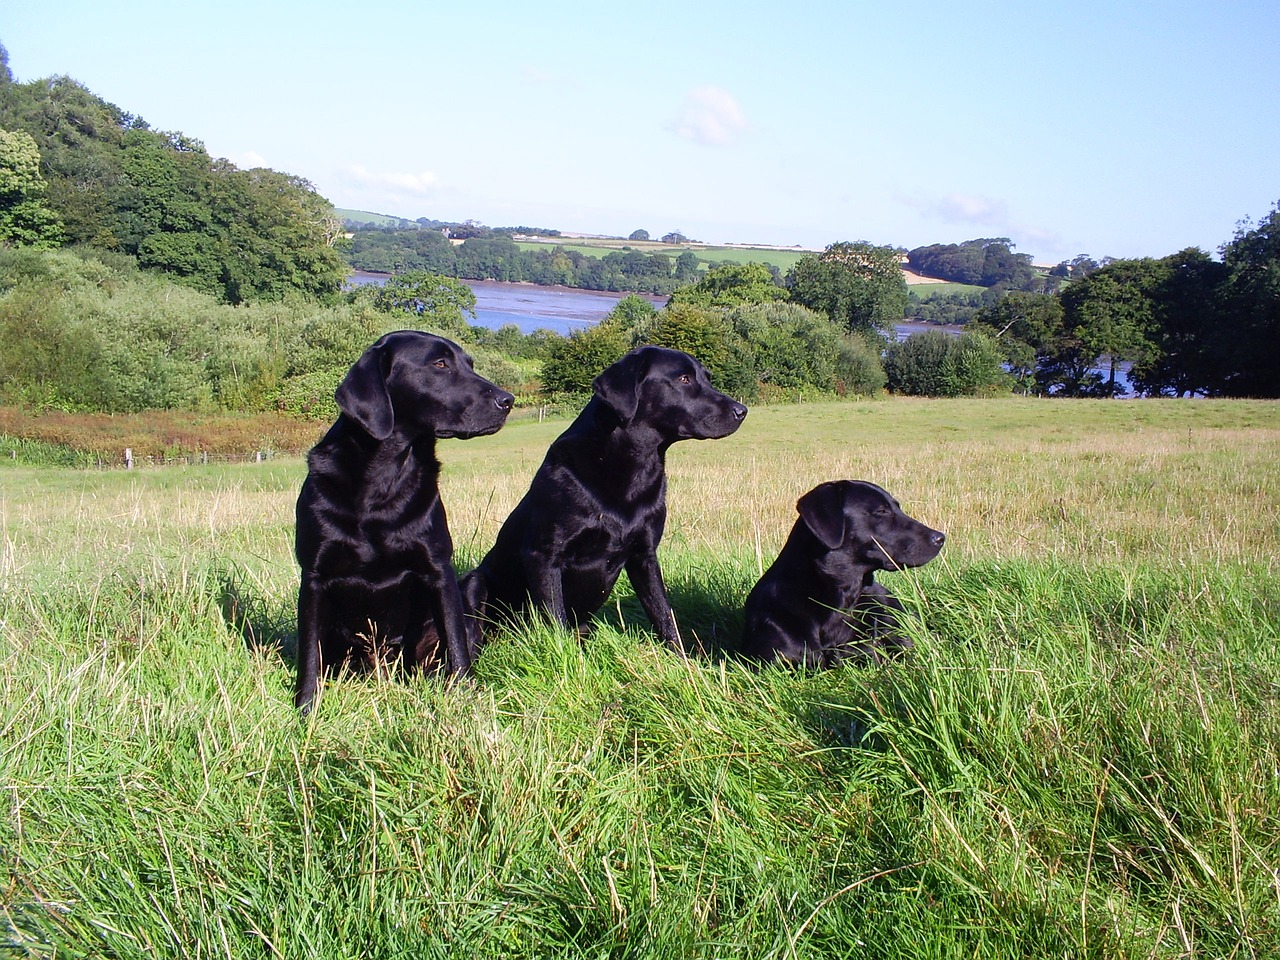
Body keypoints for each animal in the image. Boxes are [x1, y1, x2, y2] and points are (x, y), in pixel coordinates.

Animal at [294, 330, 514, 716]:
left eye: (469, 364)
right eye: (440, 364)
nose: (508, 400)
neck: (382, 477)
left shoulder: (438, 569)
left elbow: (457, 645)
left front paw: (464, 696)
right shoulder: (314, 576)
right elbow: (309, 653)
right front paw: (306, 710)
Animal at [463, 345, 747, 655]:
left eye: (707, 378)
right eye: (684, 379)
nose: (742, 411)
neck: (631, 466)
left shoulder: (644, 555)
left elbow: (663, 614)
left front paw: (682, 659)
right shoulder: (543, 556)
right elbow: (556, 620)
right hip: (475, 583)